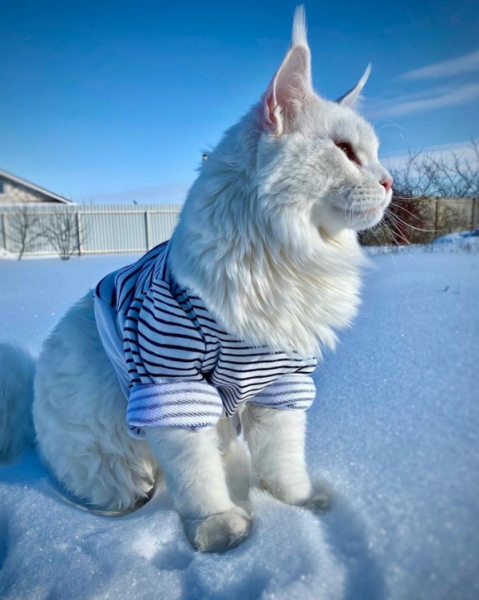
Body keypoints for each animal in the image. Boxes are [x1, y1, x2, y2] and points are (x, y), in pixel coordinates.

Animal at [0, 7, 392, 552]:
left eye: (374, 154)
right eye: (345, 151)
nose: (389, 182)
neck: (280, 259)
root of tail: (32, 423)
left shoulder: (283, 383)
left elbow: (283, 462)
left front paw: (299, 504)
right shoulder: (171, 386)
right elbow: (196, 476)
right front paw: (218, 529)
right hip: (117, 461)